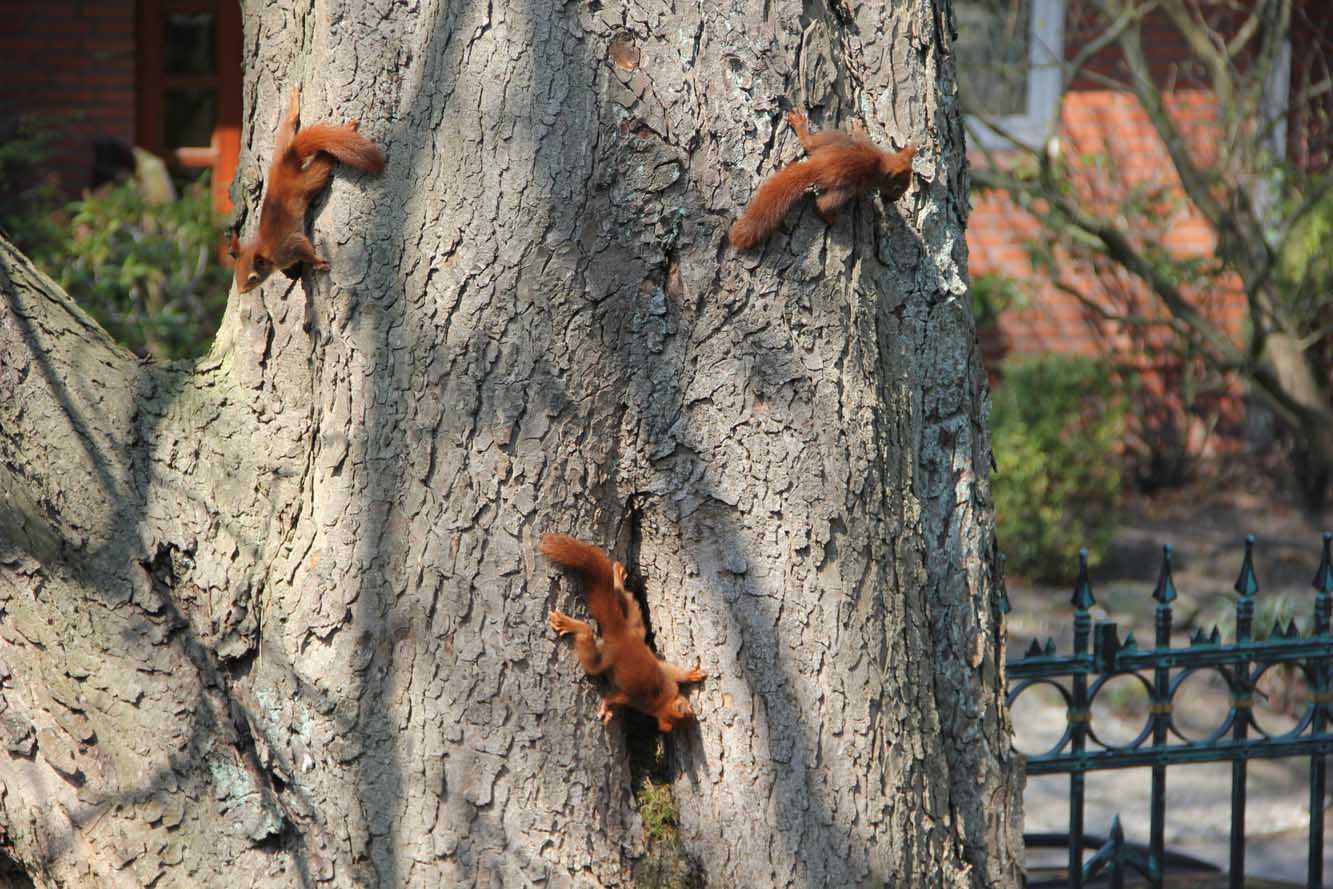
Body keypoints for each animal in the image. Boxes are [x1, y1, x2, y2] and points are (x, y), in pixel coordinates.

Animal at [229, 86, 383, 290]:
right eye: (236, 269)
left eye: (252, 277)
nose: (241, 291)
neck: (265, 251)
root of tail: (286, 164)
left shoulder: (289, 247)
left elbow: (305, 248)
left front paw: (318, 262)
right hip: (281, 151)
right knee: (287, 128)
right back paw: (294, 106)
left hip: (307, 182)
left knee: (323, 162)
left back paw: (345, 131)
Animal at [541, 535, 709, 730]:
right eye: (688, 708)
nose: (694, 714)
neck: (661, 702)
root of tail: (620, 633)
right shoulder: (652, 689)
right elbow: (614, 697)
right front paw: (606, 707)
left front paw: (692, 675)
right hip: (605, 656)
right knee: (588, 641)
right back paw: (569, 623)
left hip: (634, 625)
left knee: (626, 600)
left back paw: (617, 578)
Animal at [730, 113, 917, 250]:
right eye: (897, 188)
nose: (893, 200)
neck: (881, 162)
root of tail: (818, 165)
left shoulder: (867, 144)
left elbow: (861, 136)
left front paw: (858, 125)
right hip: (843, 189)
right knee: (822, 204)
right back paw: (830, 218)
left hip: (829, 139)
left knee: (810, 143)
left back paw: (799, 124)